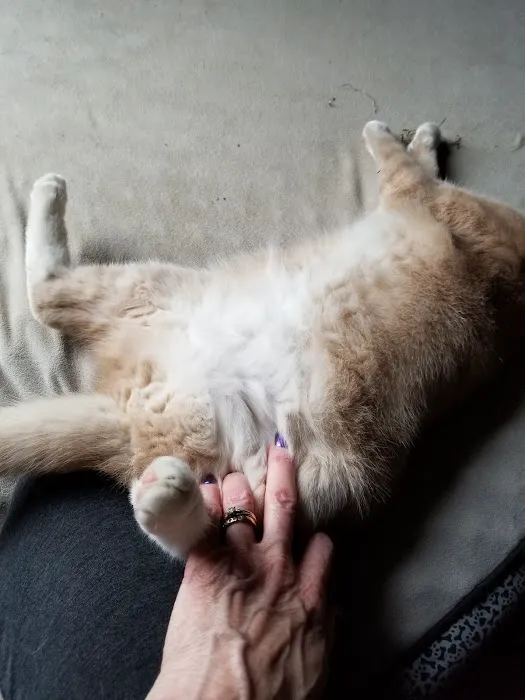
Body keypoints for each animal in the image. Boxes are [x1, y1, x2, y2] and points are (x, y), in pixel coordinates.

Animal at [1, 120, 525, 557]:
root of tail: (130, 410)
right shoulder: (420, 197)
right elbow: (415, 160)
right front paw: (425, 137)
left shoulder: (417, 194)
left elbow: (397, 158)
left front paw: (394, 131)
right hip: (154, 295)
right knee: (46, 294)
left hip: (292, 474)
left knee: (200, 540)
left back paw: (163, 493)